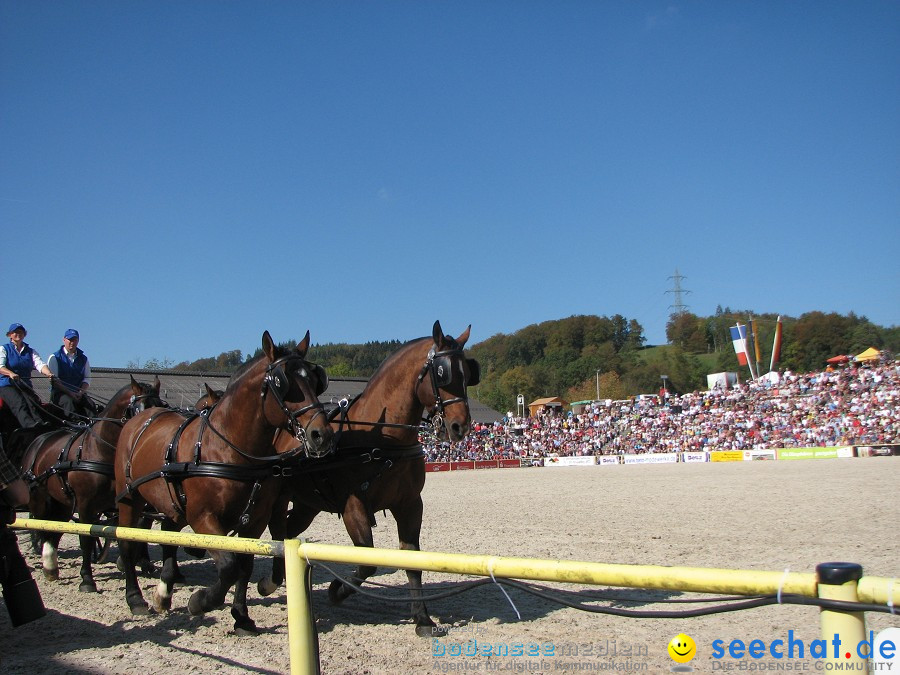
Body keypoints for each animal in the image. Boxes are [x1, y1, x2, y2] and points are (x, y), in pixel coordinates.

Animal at [22, 378, 164, 596]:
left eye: (162, 405)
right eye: (141, 409)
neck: (100, 450)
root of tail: (40, 439)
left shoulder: (123, 503)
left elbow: (131, 533)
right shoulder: (85, 505)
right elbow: (86, 540)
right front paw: (87, 579)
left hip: (63, 502)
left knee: (56, 528)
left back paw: (51, 566)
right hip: (39, 497)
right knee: (41, 525)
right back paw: (47, 561)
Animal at [114, 332, 334, 632]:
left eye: (314, 380)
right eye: (282, 384)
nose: (321, 434)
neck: (229, 449)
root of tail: (139, 420)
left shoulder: (255, 521)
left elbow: (244, 565)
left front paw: (241, 616)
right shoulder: (204, 518)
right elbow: (229, 566)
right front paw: (201, 601)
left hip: (173, 504)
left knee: (169, 532)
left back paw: (164, 591)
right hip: (129, 498)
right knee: (126, 542)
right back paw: (135, 598)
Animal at [258, 322, 478, 640]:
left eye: (468, 373)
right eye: (442, 373)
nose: (460, 426)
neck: (383, 438)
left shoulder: (410, 505)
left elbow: (412, 559)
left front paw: (422, 619)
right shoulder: (353, 506)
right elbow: (368, 561)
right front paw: (337, 590)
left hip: (307, 504)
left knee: (287, 531)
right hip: (278, 497)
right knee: (276, 531)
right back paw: (271, 581)